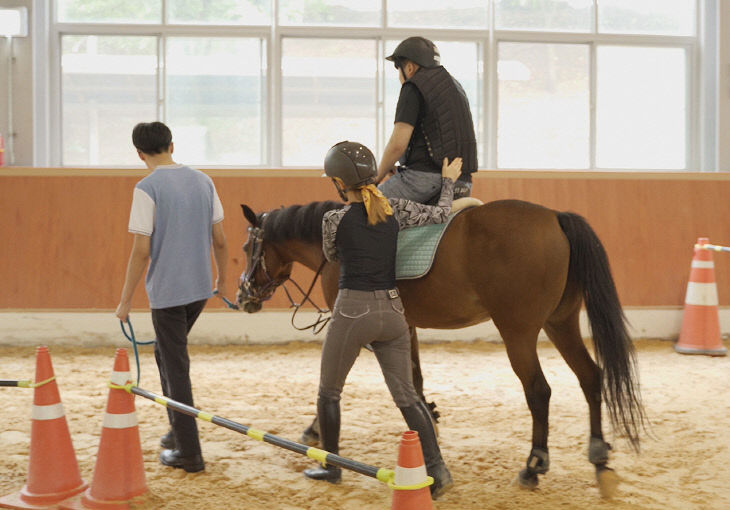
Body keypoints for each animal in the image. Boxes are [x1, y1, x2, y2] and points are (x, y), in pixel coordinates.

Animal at [235, 199, 644, 498]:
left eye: (247, 246)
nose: (243, 296)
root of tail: (555, 218)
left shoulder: (353, 326)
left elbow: (339, 380)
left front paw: (315, 430)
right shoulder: (405, 326)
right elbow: (413, 379)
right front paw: (427, 420)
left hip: (518, 332)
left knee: (539, 391)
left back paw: (533, 465)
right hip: (560, 323)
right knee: (590, 377)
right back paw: (599, 458)